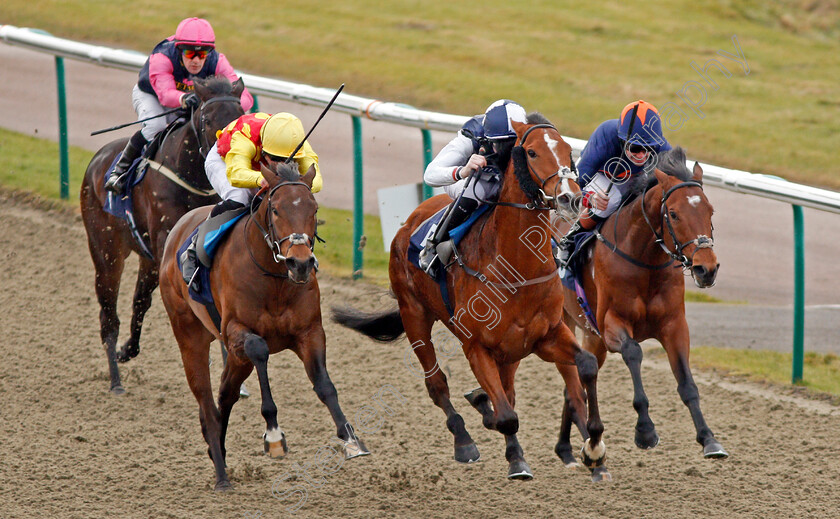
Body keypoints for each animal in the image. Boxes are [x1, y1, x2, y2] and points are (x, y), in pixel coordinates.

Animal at [80, 76, 244, 394]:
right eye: (207, 119)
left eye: (240, 116)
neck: (190, 175)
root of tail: (97, 158)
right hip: (106, 252)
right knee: (108, 315)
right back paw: (116, 379)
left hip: (146, 259)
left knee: (139, 300)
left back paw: (127, 350)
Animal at [158, 161, 368, 492]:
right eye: (277, 210)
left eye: (314, 208)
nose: (300, 263)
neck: (274, 278)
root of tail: (177, 231)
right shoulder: (237, 330)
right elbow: (260, 350)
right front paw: (274, 435)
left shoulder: (309, 332)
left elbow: (324, 384)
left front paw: (350, 438)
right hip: (190, 333)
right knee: (205, 397)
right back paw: (220, 472)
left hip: (234, 355)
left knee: (225, 393)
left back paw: (218, 448)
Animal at [334, 116, 612, 482]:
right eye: (532, 152)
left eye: (568, 150)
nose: (571, 198)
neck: (516, 268)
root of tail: (409, 221)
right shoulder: (477, 347)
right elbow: (506, 415)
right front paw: (516, 459)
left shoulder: (547, 335)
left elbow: (586, 366)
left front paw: (594, 446)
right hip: (415, 315)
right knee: (437, 383)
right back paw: (463, 440)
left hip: (511, 351)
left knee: (505, 390)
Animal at [556, 146, 724, 460]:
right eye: (674, 214)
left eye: (710, 210)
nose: (706, 269)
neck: (644, 261)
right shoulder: (612, 325)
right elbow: (634, 352)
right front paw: (645, 430)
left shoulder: (674, 325)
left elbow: (687, 384)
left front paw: (709, 438)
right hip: (562, 323)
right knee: (573, 382)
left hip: (592, 337)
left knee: (581, 381)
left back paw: (574, 446)